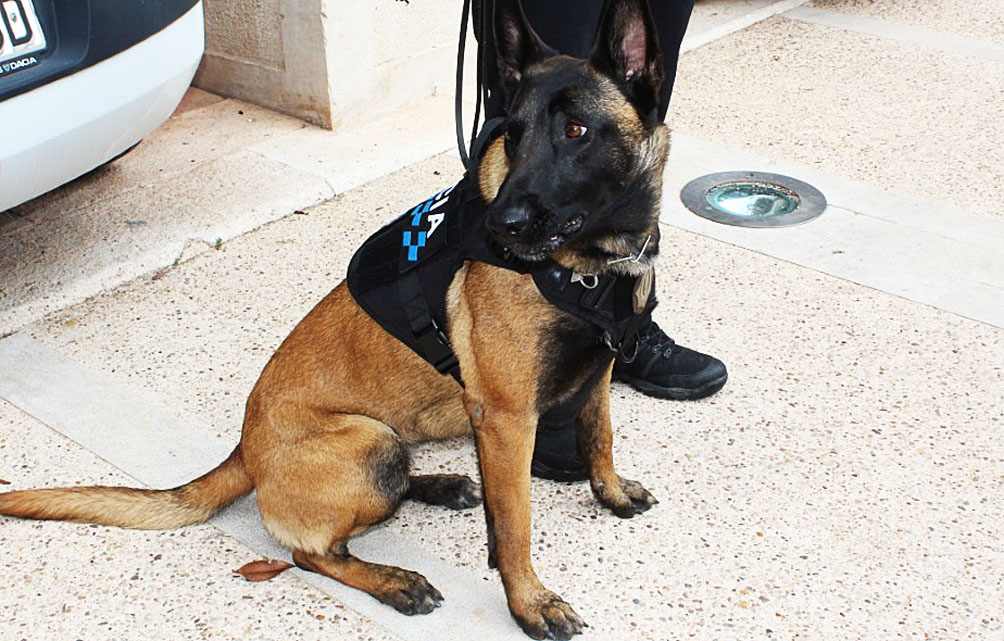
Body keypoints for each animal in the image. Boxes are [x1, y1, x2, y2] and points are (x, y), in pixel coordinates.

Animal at [1, 2, 674, 638]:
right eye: (511, 134)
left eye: (575, 130)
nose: (498, 226)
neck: (594, 267)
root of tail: (246, 449)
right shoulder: (507, 421)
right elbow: (514, 528)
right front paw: (530, 604)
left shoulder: (598, 371)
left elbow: (599, 437)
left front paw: (611, 493)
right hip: (368, 442)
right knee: (311, 553)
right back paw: (393, 579)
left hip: (388, 440)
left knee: (384, 493)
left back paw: (438, 485)